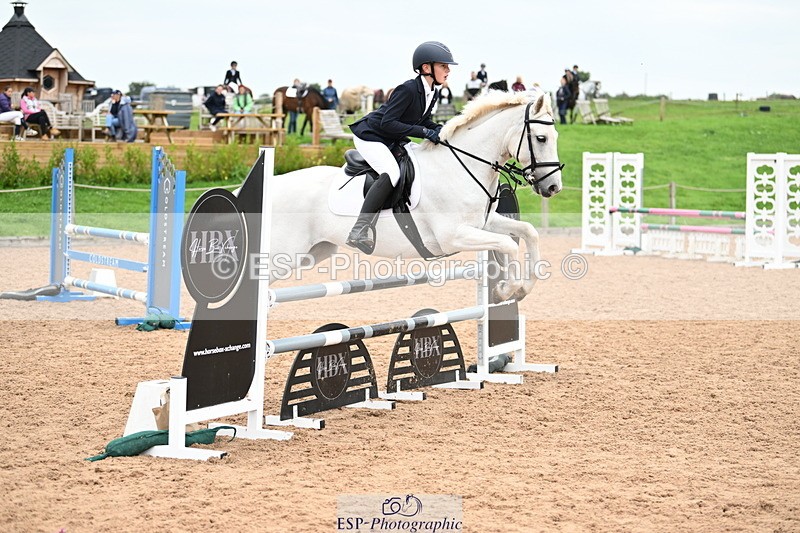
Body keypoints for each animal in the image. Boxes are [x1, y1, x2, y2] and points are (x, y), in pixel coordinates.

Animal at [257, 90, 563, 303]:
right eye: (541, 138)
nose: (553, 188)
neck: (461, 165)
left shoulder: (482, 224)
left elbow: (528, 232)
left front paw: (523, 288)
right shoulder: (452, 235)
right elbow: (508, 245)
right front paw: (504, 290)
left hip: (314, 251)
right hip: (282, 255)